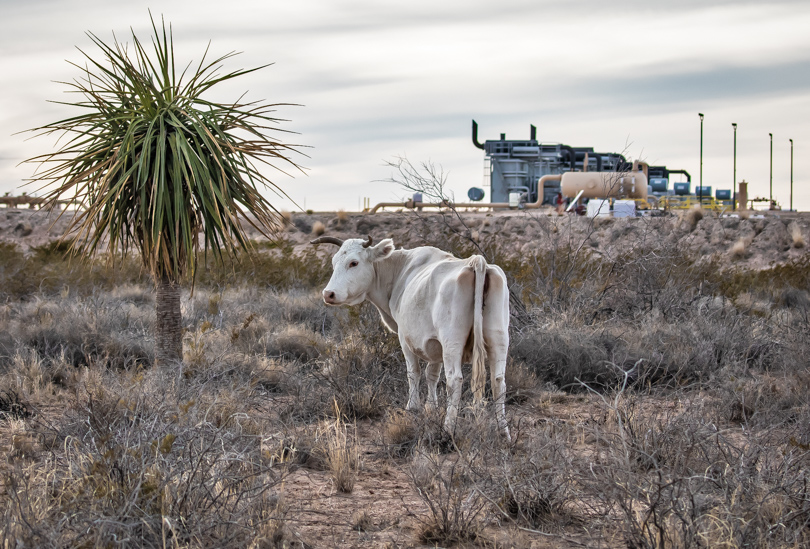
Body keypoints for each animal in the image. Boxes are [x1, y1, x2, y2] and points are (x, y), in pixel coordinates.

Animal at [312, 233, 508, 438]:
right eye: (334, 262)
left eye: (353, 263)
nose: (328, 294)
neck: (401, 271)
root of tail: (474, 262)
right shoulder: (435, 345)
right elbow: (432, 374)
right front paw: (431, 407)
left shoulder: (405, 338)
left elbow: (413, 373)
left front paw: (412, 407)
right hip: (498, 338)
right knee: (498, 380)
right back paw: (503, 431)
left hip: (452, 343)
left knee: (455, 380)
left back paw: (448, 429)